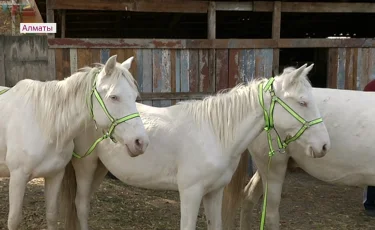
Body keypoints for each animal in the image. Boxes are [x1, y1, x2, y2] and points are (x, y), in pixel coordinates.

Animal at [0, 54, 150, 229]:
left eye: (134, 96)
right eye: (114, 97)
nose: (141, 142)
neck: (44, 125)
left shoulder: (55, 176)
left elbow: (51, 216)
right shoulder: (18, 177)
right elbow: (14, 220)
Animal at [59, 63, 332, 230]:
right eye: (303, 102)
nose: (324, 146)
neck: (214, 135)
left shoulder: (214, 192)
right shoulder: (190, 193)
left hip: (100, 168)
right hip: (86, 165)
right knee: (81, 205)